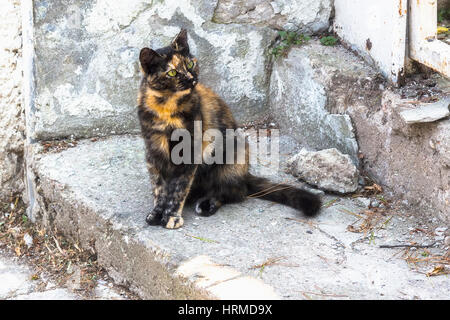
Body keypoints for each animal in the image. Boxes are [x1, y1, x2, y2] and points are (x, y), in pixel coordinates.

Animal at [135, 28, 322, 229]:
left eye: (190, 64)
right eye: (172, 73)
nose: (192, 78)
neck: (166, 107)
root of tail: (245, 173)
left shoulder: (189, 152)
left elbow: (178, 189)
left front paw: (171, 216)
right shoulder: (153, 152)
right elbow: (159, 188)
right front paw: (157, 213)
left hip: (231, 158)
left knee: (235, 192)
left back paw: (207, 203)